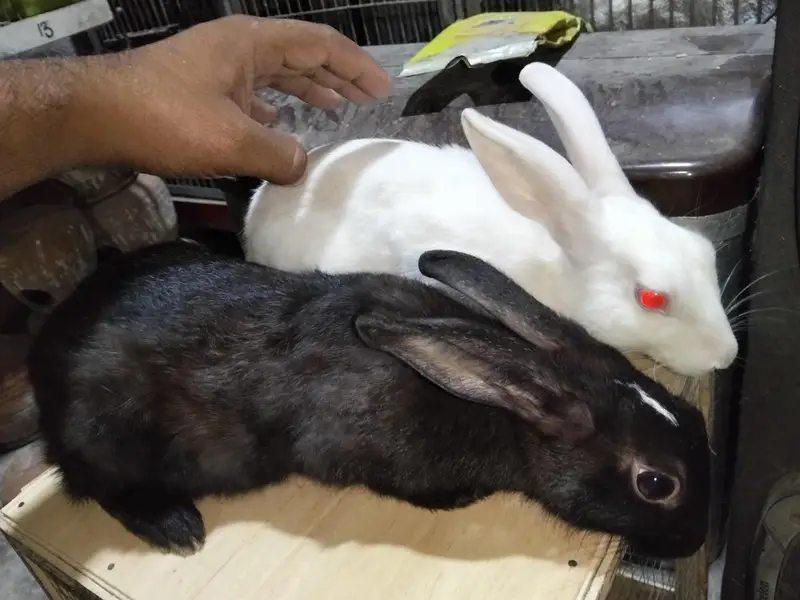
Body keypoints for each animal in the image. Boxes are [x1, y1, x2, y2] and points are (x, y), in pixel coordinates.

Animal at [29, 240, 710, 560]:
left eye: (697, 418)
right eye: (657, 484)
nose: (695, 542)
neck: (505, 409)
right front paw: (459, 498)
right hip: (110, 433)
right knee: (97, 485)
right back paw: (175, 526)